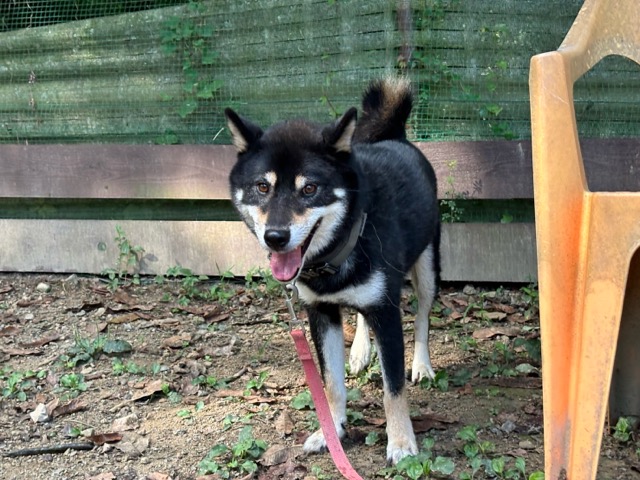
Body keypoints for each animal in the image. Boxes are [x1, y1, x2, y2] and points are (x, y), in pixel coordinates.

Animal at [225, 77, 440, 464]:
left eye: (310, 188)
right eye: (262, 187)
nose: (275, 237)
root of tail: (396, 137)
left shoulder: (386, 311)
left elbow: (393, 388)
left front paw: (401, 443)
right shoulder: (321, 312)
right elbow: (331, 384)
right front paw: (332, 431)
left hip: (428, 269)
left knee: (422, 317)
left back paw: (422, 365)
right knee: (361, 317)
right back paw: (360, 352)